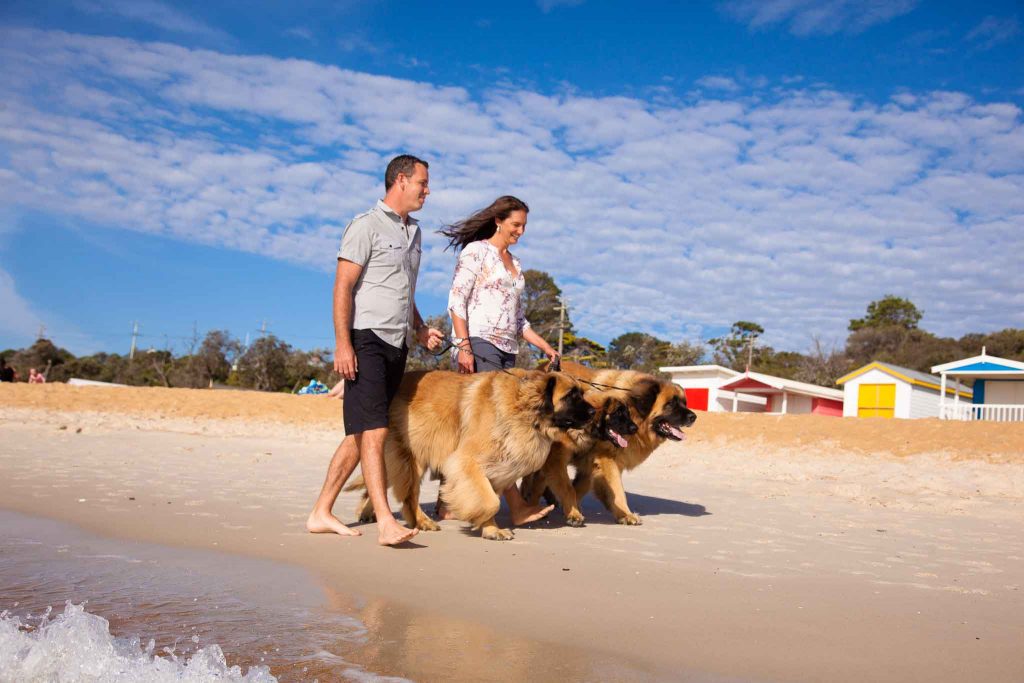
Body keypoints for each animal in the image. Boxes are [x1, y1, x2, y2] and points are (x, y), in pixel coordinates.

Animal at [350, 370, 598, 540]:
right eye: (571, 396)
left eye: (581, 393)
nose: (594, 411)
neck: (525, 410)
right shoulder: (467, 463)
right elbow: (489, 502)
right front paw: (479, 520)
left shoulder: (497, 469)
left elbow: (491, 499)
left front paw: (491, 529)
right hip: (413, 458)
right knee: (409, 495)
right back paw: (421, 522)